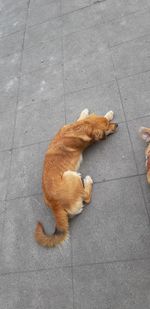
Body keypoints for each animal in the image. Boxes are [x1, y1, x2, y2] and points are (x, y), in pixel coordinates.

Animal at [34, 108, 118, 245]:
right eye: (107, 127)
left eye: (108, 123)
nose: (117, 125)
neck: (78, 128)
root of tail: (55, 205)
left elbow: (83, 115)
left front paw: (107, 114)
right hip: (70, 175)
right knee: (87, 198)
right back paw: (87, 181)